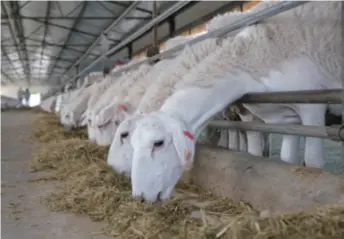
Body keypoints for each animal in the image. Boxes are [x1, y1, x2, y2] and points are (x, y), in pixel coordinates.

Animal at [127, 1, 342, 204]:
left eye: (158, 143)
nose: (139, 196)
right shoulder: (285, 120)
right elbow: (286, 159)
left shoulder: (312, 108)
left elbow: (313, 162)